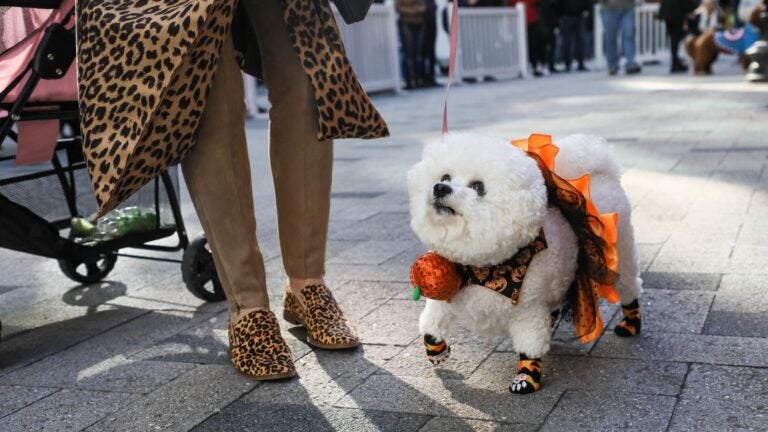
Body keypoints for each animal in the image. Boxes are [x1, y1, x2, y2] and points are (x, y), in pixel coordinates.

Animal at [408, 132, 640, 394]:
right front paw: (437, 351)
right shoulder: (445, 301)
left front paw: (525, 379)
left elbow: (530, 348)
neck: (478, 270)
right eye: (445, 177)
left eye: (478, 187)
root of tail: (602, 171)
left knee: (630, 287)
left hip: (621, 255)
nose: (440, 187)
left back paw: (630, 323)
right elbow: (429, 326)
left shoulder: (528, 312)